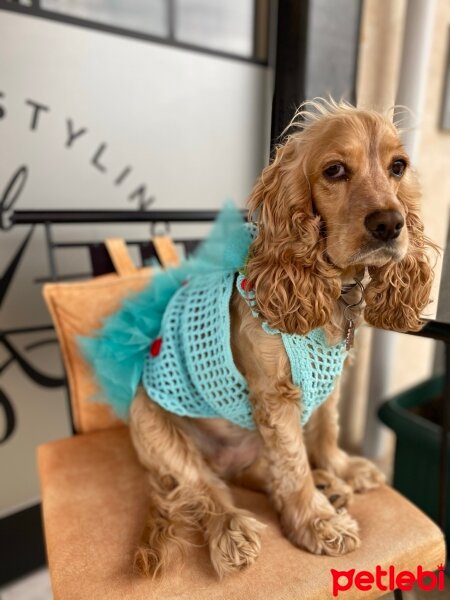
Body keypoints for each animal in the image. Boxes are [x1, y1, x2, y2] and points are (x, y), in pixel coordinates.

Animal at [126, 98, 436, 576]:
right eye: (334, 171)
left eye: (398, 166)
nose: (390, 223)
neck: (329, 286)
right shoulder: (274, 395)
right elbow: (292, 464)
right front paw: (317, 524)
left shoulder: (331, 379)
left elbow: (326, 430)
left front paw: (341, 469)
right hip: (150, 423)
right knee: (203, 489)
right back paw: (233, 529)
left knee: (249, 475)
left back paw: (330, 485)